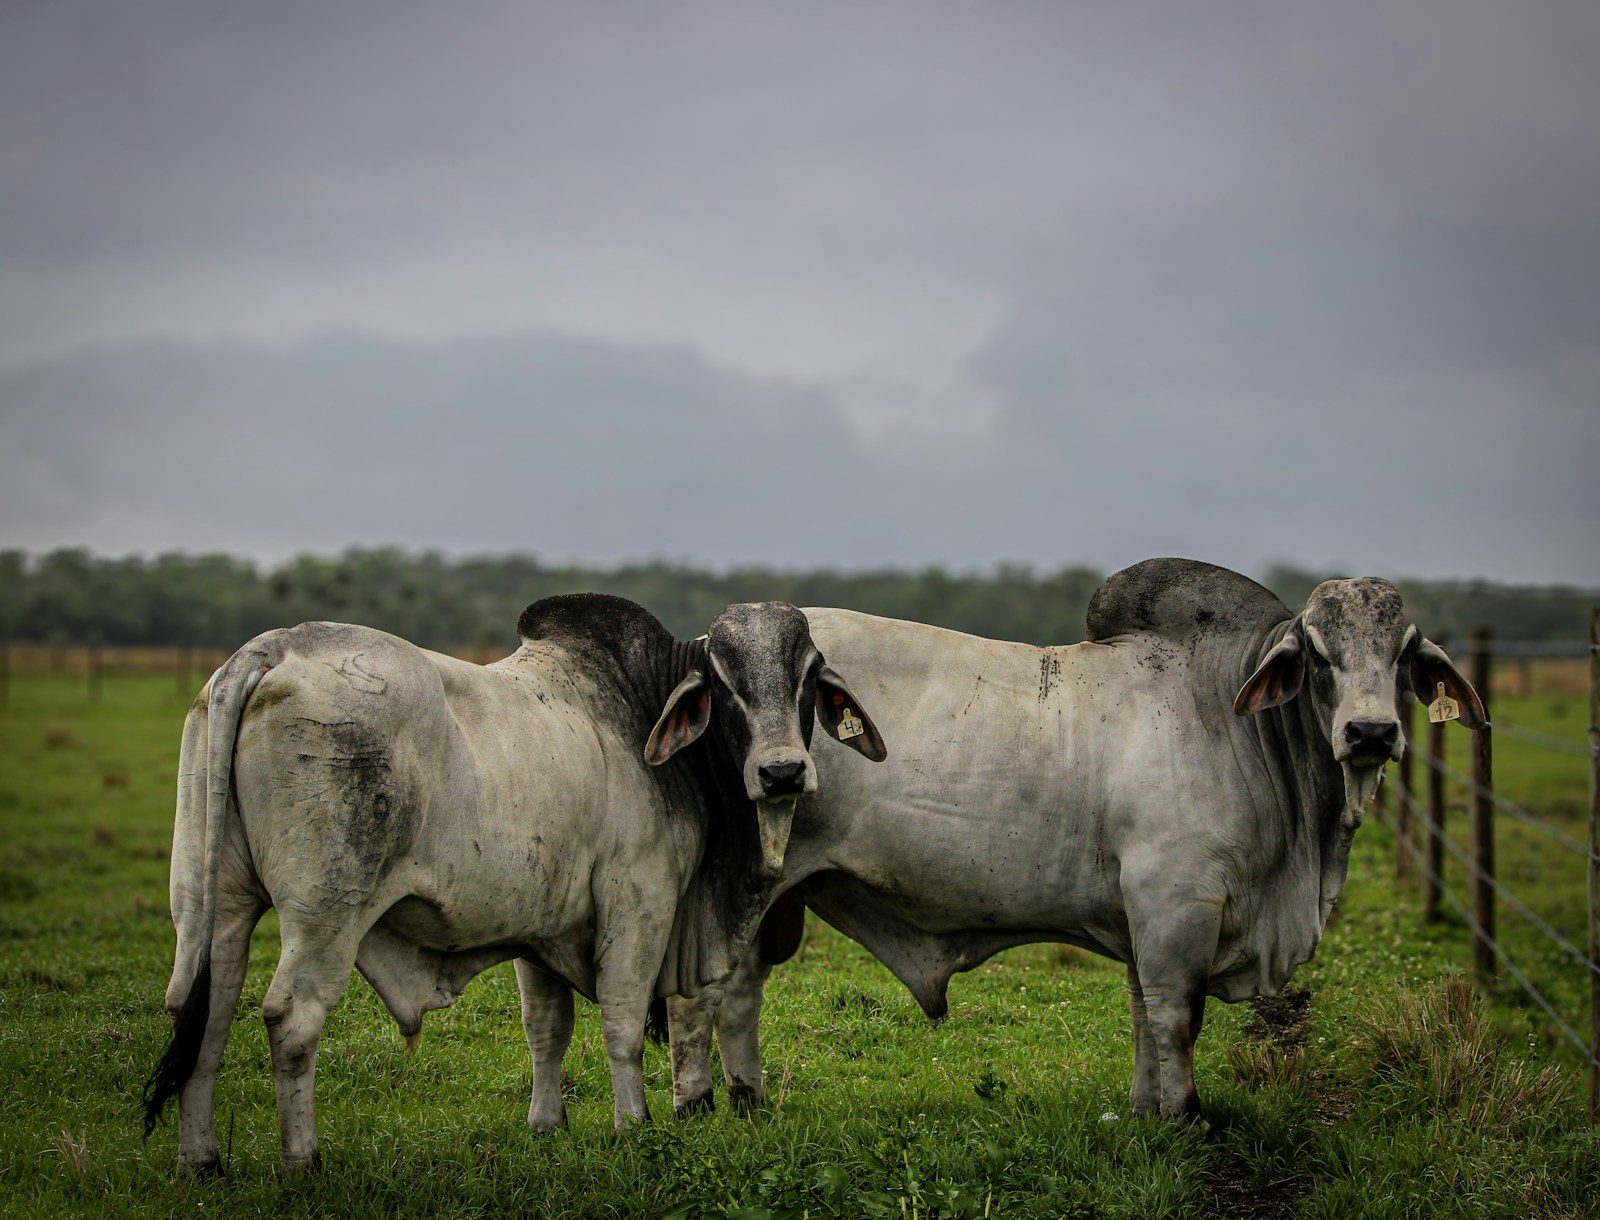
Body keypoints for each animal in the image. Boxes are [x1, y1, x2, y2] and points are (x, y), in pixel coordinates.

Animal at [142, 594, 884, 1173]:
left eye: (807, 676)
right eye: (725, 683)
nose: (782, 773)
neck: (640, 706)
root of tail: (273, 650)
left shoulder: (546, 927)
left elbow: (546, 1029)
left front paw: (547, 1125)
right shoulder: (639, 898)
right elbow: (621, 1022)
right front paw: (634, 1124)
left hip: (213, 904)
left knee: (200, 1012)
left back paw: (201, 1160)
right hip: (326, 913)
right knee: (291, 1019)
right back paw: (304, 1161)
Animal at [660, 559, 1484, 1120]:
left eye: (1405, 653)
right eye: (1316, 650)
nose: (1370, 732)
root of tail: (692, 654)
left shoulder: (1144, 916)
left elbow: (1143, 1013)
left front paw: (1149, 1110)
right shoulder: (1175, 904)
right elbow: (1177, 1017)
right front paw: (1187, 1117)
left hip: (773, 899)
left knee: (740, 993)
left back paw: (748, 1099)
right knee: (698, 995)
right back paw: (698, 1106)